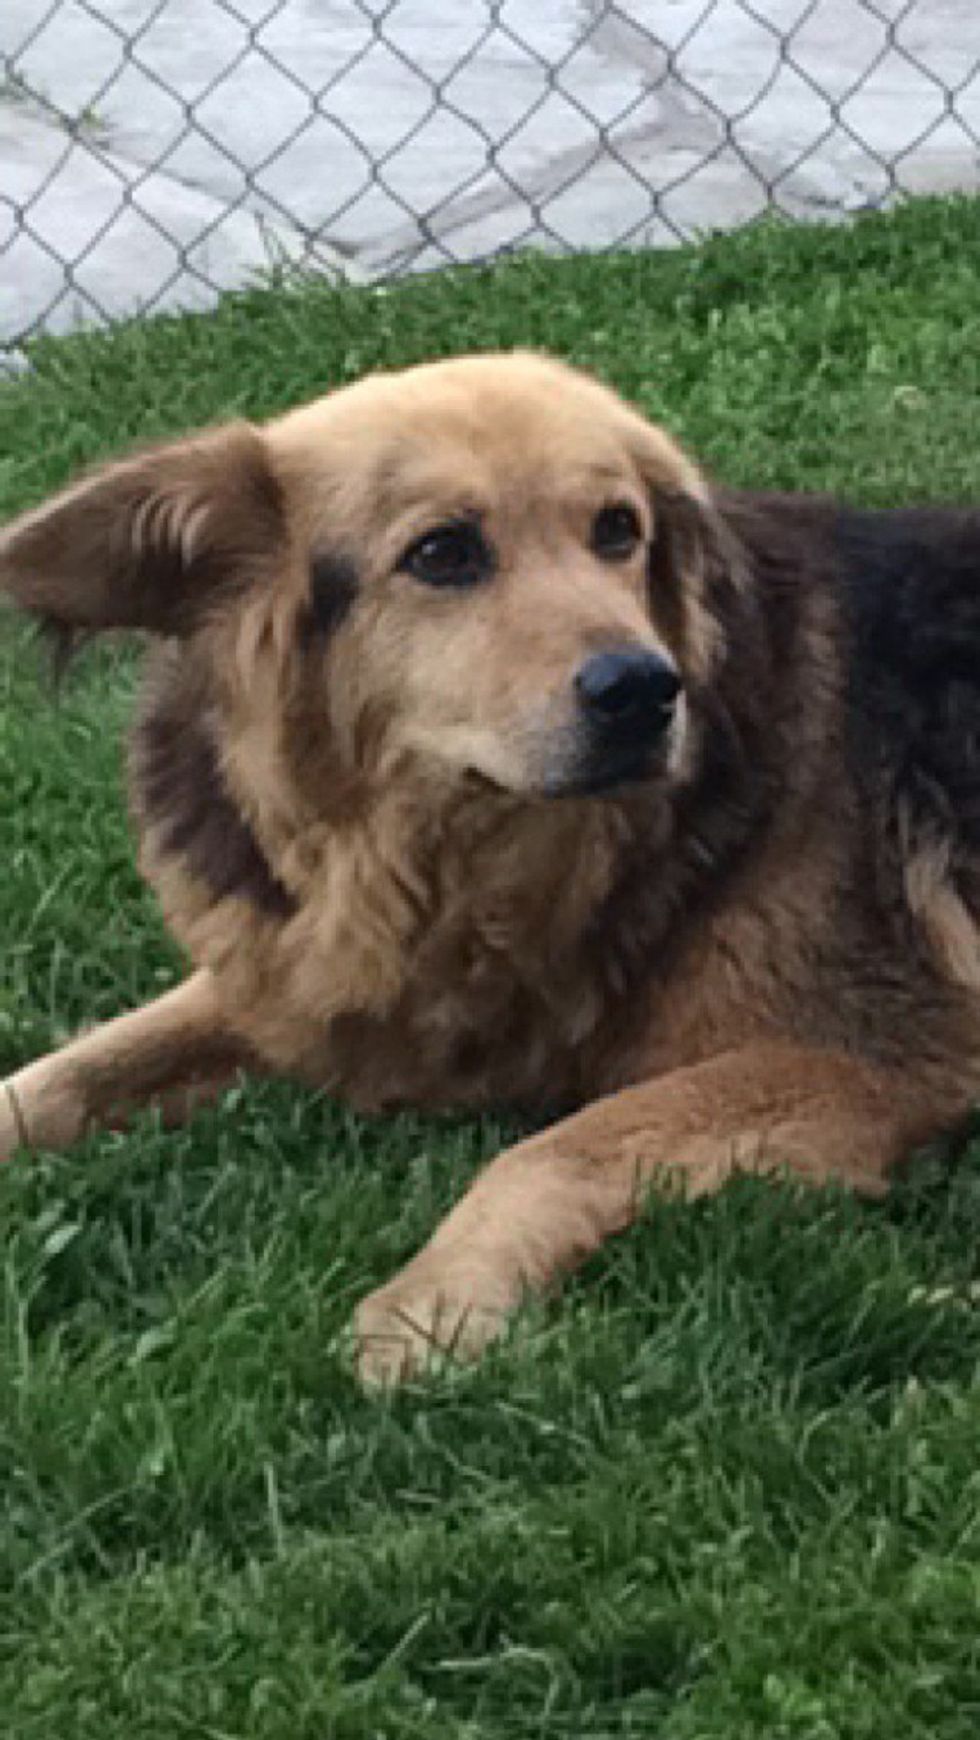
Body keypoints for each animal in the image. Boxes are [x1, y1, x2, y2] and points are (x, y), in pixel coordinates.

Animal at [2, 350, 980, 1384]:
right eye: (442, 553)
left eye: (618, 530)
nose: (644, 689)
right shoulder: (290, 976)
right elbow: (65, 1074)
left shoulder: (867, 1056)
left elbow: (555, 1150)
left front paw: (431, 1305)